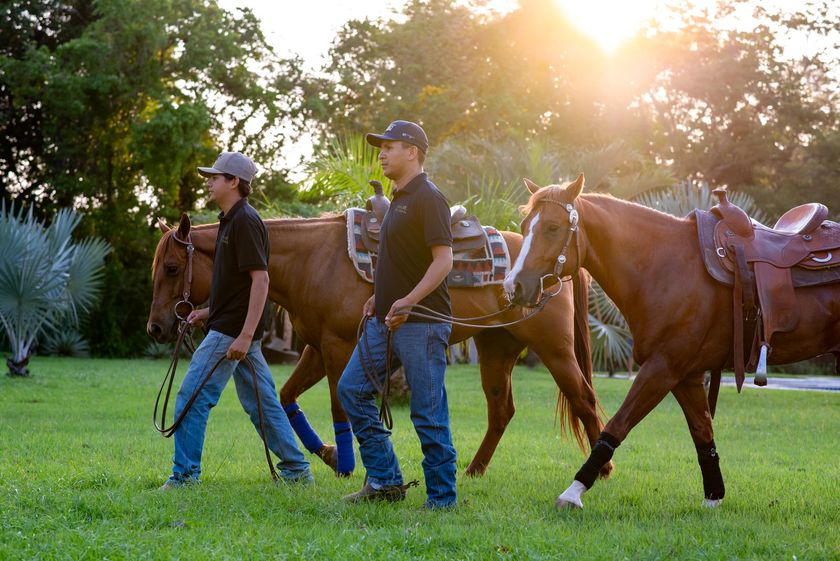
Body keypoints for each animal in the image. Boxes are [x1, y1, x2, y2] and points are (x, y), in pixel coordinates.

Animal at [148, 212, 612, 480]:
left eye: (171, 267)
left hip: (555, 350)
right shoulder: (316, 348)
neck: (316, 258)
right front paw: (328, 455)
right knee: (502, 411)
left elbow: (338, 406)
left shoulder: (337, 347)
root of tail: (558, 268)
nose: (156, 327)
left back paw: (602, 468)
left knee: (585, 399)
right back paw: (474, 470)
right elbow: (286, 396)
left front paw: (345, 465)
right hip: (497, 349)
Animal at [506, 175, 840, 508]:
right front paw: (713, 498)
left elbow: (617, 425)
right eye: (523, 226)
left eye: (552, 227)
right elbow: (703, 433)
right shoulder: (686, 376)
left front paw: (574, 490)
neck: (666, 266)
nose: (514, 286)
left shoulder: (663, 368)